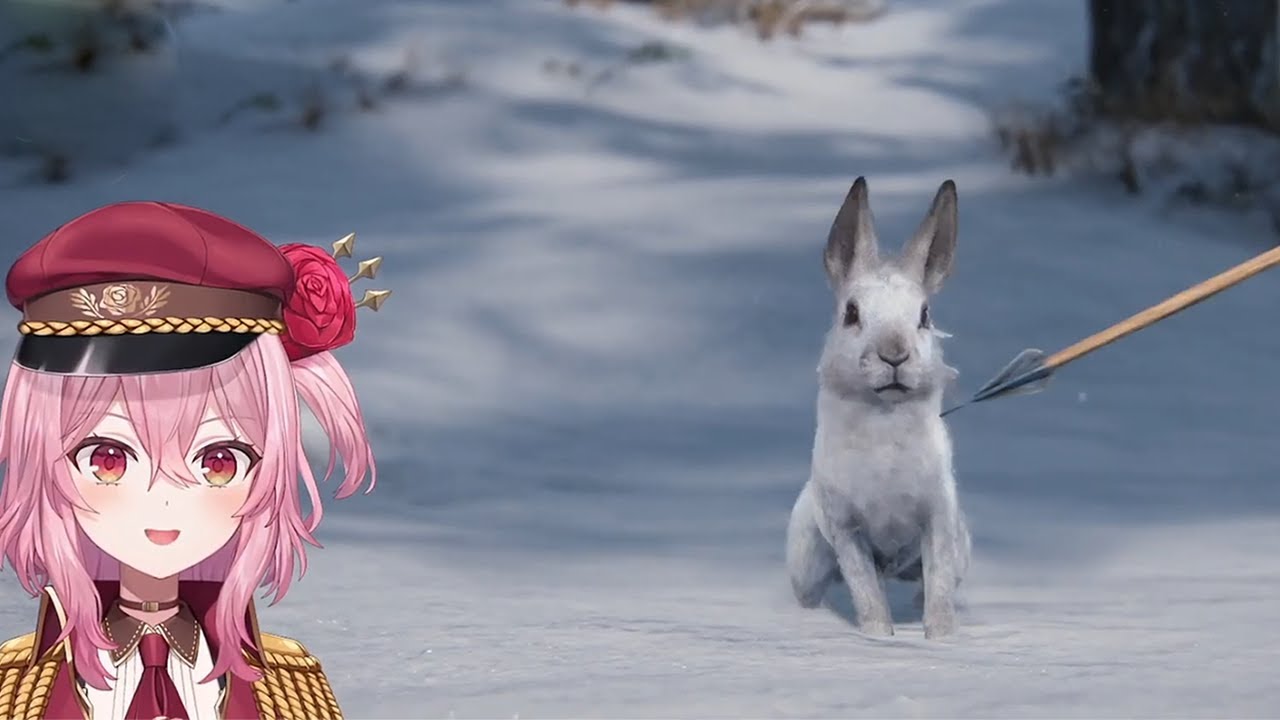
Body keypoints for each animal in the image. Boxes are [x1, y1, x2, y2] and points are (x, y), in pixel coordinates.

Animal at [785, 176, 971, 639]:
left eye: (925, 315)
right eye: (851, 313)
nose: (894, 355)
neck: (884, 416)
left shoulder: (937, 518)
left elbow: (939, 589)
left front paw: (940, 638)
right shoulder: (846, 529)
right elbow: (866, 592)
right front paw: (879, 638)